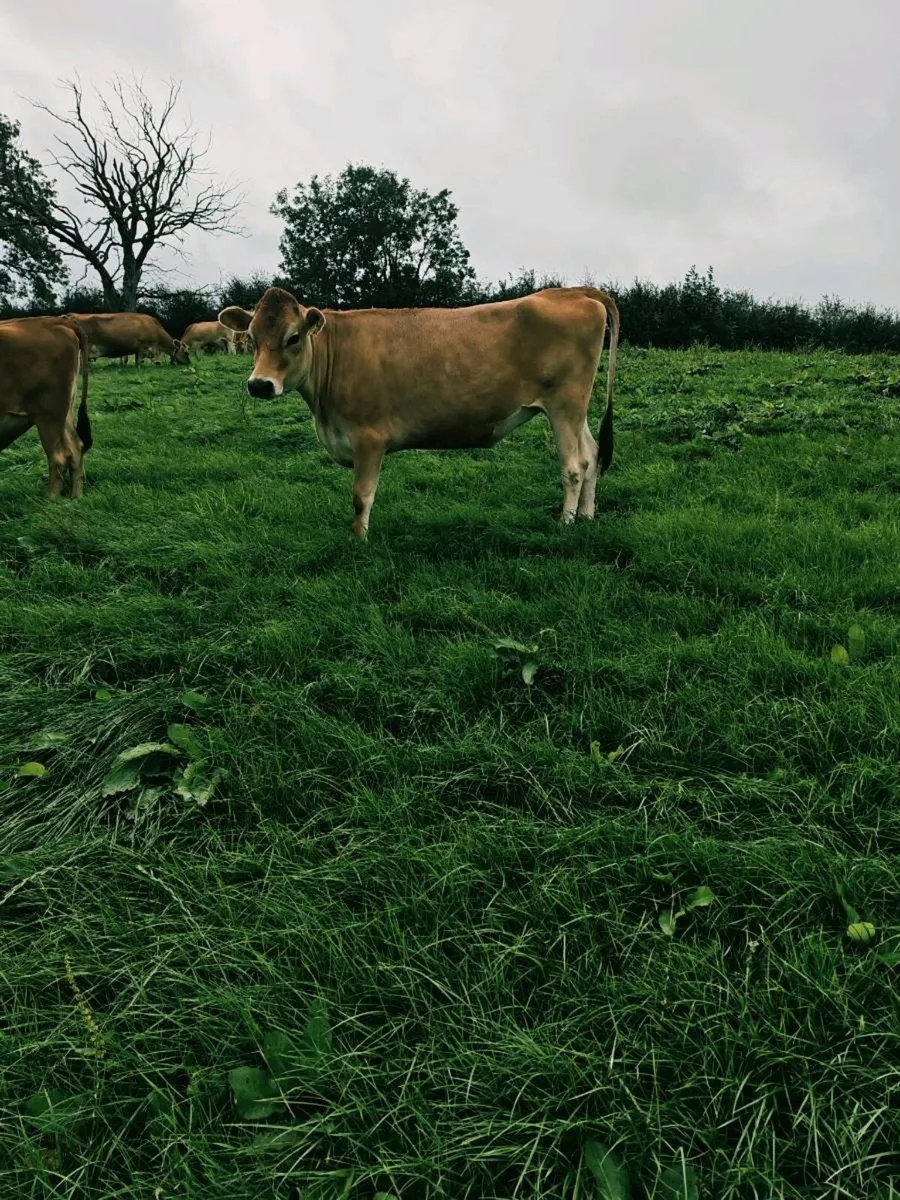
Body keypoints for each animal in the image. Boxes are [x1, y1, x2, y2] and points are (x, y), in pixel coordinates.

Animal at [0, 315, 92, 498]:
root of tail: (53, 320)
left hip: (48, 415)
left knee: (59, 457)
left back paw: (50, 500)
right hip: (64, 413)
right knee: (76, 448)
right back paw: (75, 497)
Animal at [218, 285, 620, 540]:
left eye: (294, 337)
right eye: (251, 337)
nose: (259, 385)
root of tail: (574, 291)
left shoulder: (368, 439)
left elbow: (361, 496)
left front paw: (358, 541)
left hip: (564, 404)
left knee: (574, 465)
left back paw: (565, 524)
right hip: (575, 408)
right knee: (592, 455)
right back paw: (587, 516)